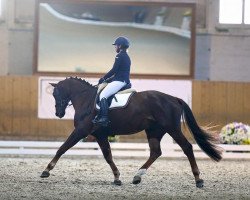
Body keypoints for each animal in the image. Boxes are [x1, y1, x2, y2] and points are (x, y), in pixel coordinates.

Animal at [41, 76, 223, 188]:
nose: (58, 113)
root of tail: (174, 99)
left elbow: (62, 148)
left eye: (56, 94)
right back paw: (137, 176)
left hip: (172, 129)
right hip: (154, 131)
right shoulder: (100, 135)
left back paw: (198, 179)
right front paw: (117, 177)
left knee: (187, 148)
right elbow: (108, 156)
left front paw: (46, 170)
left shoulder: (81, 131)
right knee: (156, 152)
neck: (86, 100)